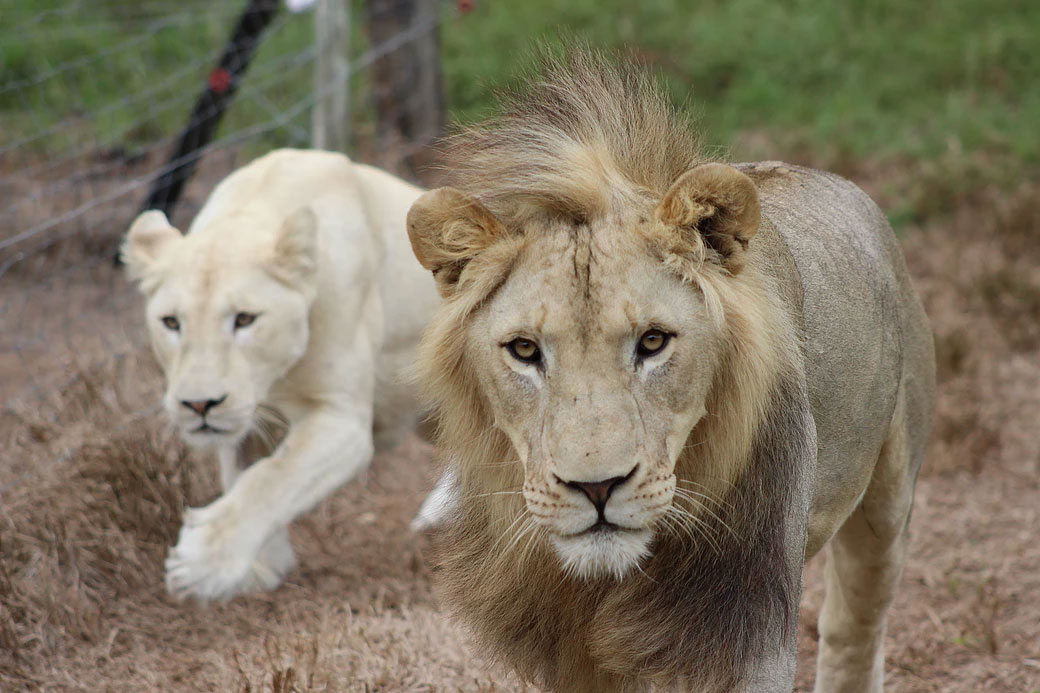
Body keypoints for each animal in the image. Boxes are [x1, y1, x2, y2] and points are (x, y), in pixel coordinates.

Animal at [121, 146, 438, 599]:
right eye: (171, 323)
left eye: (244, 319)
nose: (199, 404)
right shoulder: (244, 424)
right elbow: (245, 478)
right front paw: (261, 568)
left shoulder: (341, 418)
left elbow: (274, 479)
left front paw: (201, 563)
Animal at [403, 54, 935, 690]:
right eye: (525, 350)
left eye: (653, 342)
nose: (596, 487)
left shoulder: (745, 632)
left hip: (888, 499)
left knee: (856, 625)